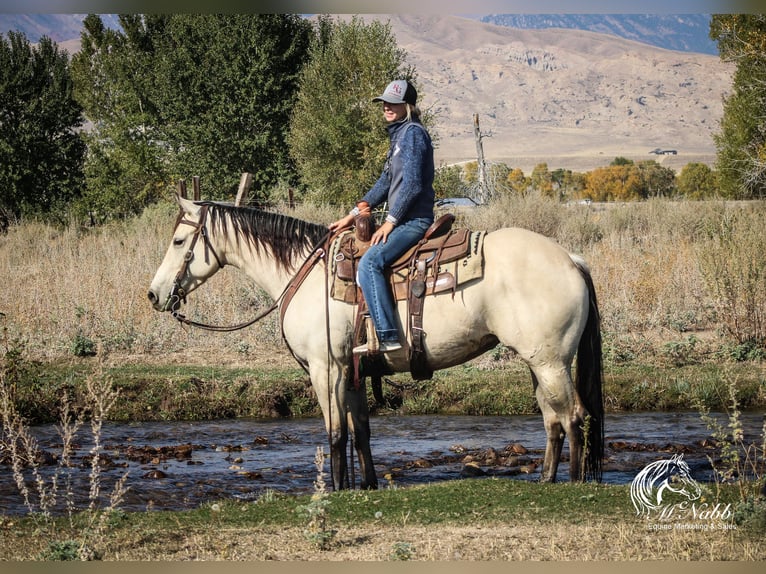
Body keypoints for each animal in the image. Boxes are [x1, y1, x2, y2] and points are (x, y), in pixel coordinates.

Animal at [150, 195, 608, 490]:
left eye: (178, 242)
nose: (154, 295)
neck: (304, 274)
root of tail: (571, 260)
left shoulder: (326, 369)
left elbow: (335, 433)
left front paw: (337, 489)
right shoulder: (351, 371)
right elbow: (361, 433)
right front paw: (366, 484)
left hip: (550, 361)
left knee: (574, 416)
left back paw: (572, 483)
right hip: (538, 362)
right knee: (552, 419)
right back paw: (546, 478)